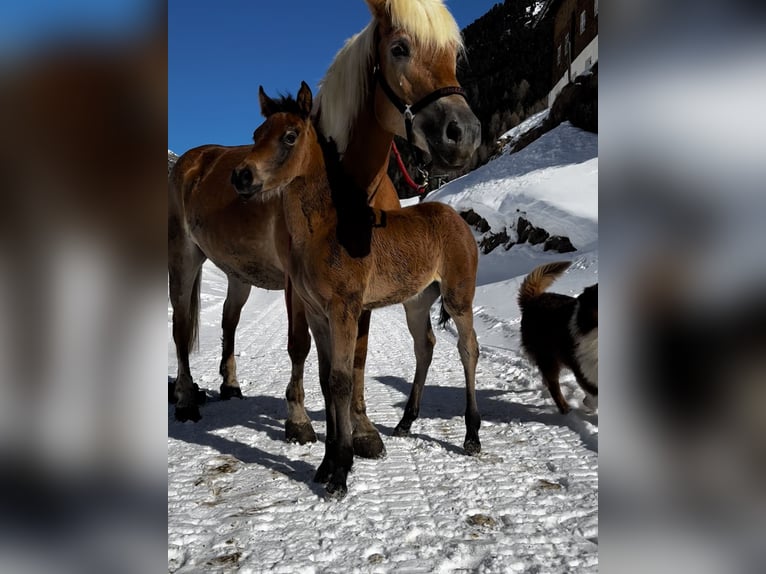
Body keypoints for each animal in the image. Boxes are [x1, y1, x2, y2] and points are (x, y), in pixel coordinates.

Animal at [171, 0, 480, 460]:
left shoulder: (358, 294)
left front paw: (363, 430)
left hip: (238, 274)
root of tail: (193, 160)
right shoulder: (298, 287)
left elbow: (356, 359)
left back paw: (229, 385)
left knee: (228, 320)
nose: (462, 134)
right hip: (184, 257)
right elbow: (301, 348)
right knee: (180, 327)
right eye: (400, 48)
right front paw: (300, 422)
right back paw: (187, 399)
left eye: (453, 55)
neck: (345, 192)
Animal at [516, 260, 600, 414]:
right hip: (547, 357)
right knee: (554, 386)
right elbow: (594, 396)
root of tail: (533, 300)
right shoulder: (585, 369)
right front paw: (587, 403)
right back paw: (565, 408)